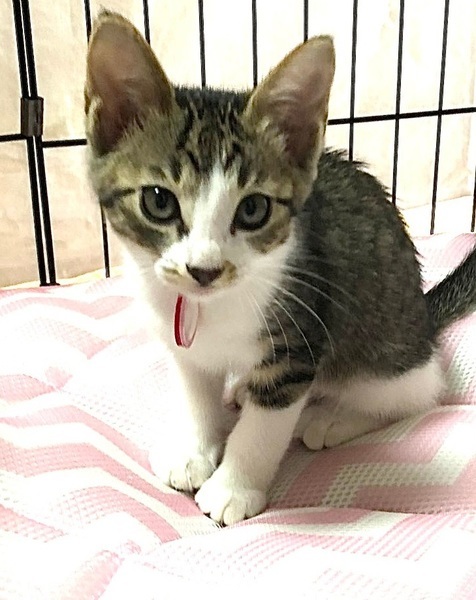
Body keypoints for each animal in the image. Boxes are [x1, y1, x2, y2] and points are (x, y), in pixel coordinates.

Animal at [85, 11, 476, 525]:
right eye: (158, 201)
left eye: (253, 210)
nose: (204, 269)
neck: (211, 308)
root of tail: (425, 321)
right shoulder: (185, 346)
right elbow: (195, 392)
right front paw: (194, 450)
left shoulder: (298, 342)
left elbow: (264, 426)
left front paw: (233, 488)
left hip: (381, 350)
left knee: (414, 394)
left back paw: (329, 418)